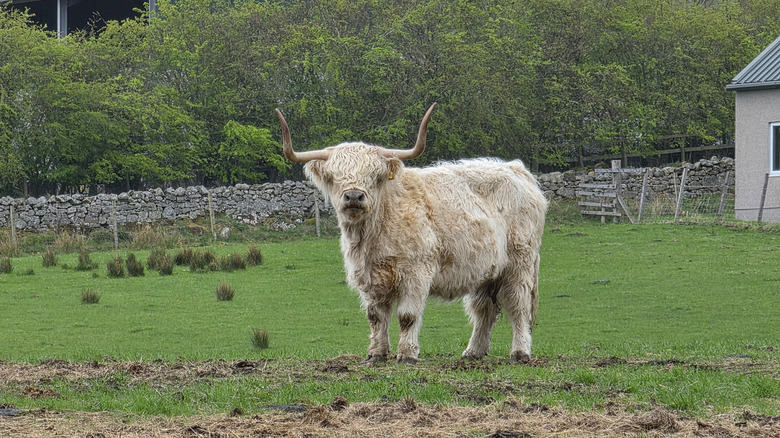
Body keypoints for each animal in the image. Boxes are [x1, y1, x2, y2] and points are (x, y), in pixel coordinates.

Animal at [276, 104, 547, 364]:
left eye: (374, 176)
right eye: (334, 176)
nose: (353, 196)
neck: (373, 233)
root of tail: (516, 169)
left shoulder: (416, 273)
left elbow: (407, 316)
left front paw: (406, 355)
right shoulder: (370, 279)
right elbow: (375, 317)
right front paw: (376, 354)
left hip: (520, 264)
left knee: (518, 307)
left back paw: (520, 353)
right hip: (486, 269)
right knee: (484, 309)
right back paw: (473, 352)